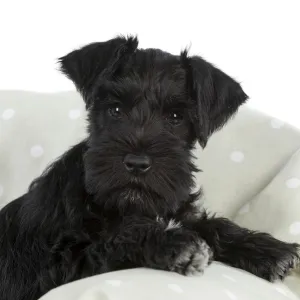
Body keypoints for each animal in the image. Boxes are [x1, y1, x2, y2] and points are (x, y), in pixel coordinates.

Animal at [0, 35, 298, 300]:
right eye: (115, 109)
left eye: (176, 117)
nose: (137, 164)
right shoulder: (57, 266)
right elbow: (114, 242)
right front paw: (176, 244)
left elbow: (211, 224)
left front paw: (270, 250)